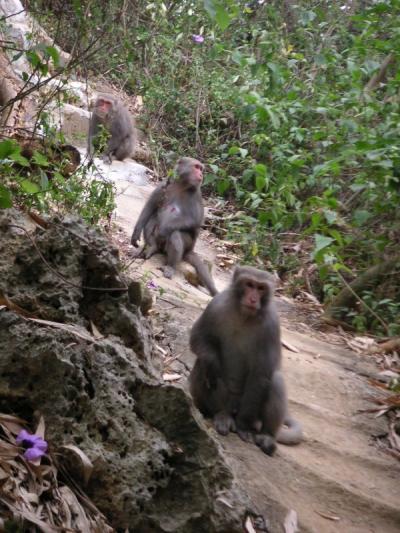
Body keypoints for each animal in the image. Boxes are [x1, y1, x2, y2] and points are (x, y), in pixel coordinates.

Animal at [189, 264, 302, 456]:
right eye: (249, 284)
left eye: (261, 288)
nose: (253, 298)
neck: (244, 315)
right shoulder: (216, 305)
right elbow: (198, 338)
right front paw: (212, 362)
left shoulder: (271, 325)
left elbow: (261, 374)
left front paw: (244, 426)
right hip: (223, 400)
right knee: (201, 365)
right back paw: (221, 415)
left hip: (252, 413)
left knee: (275, 380)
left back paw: (266, 435)